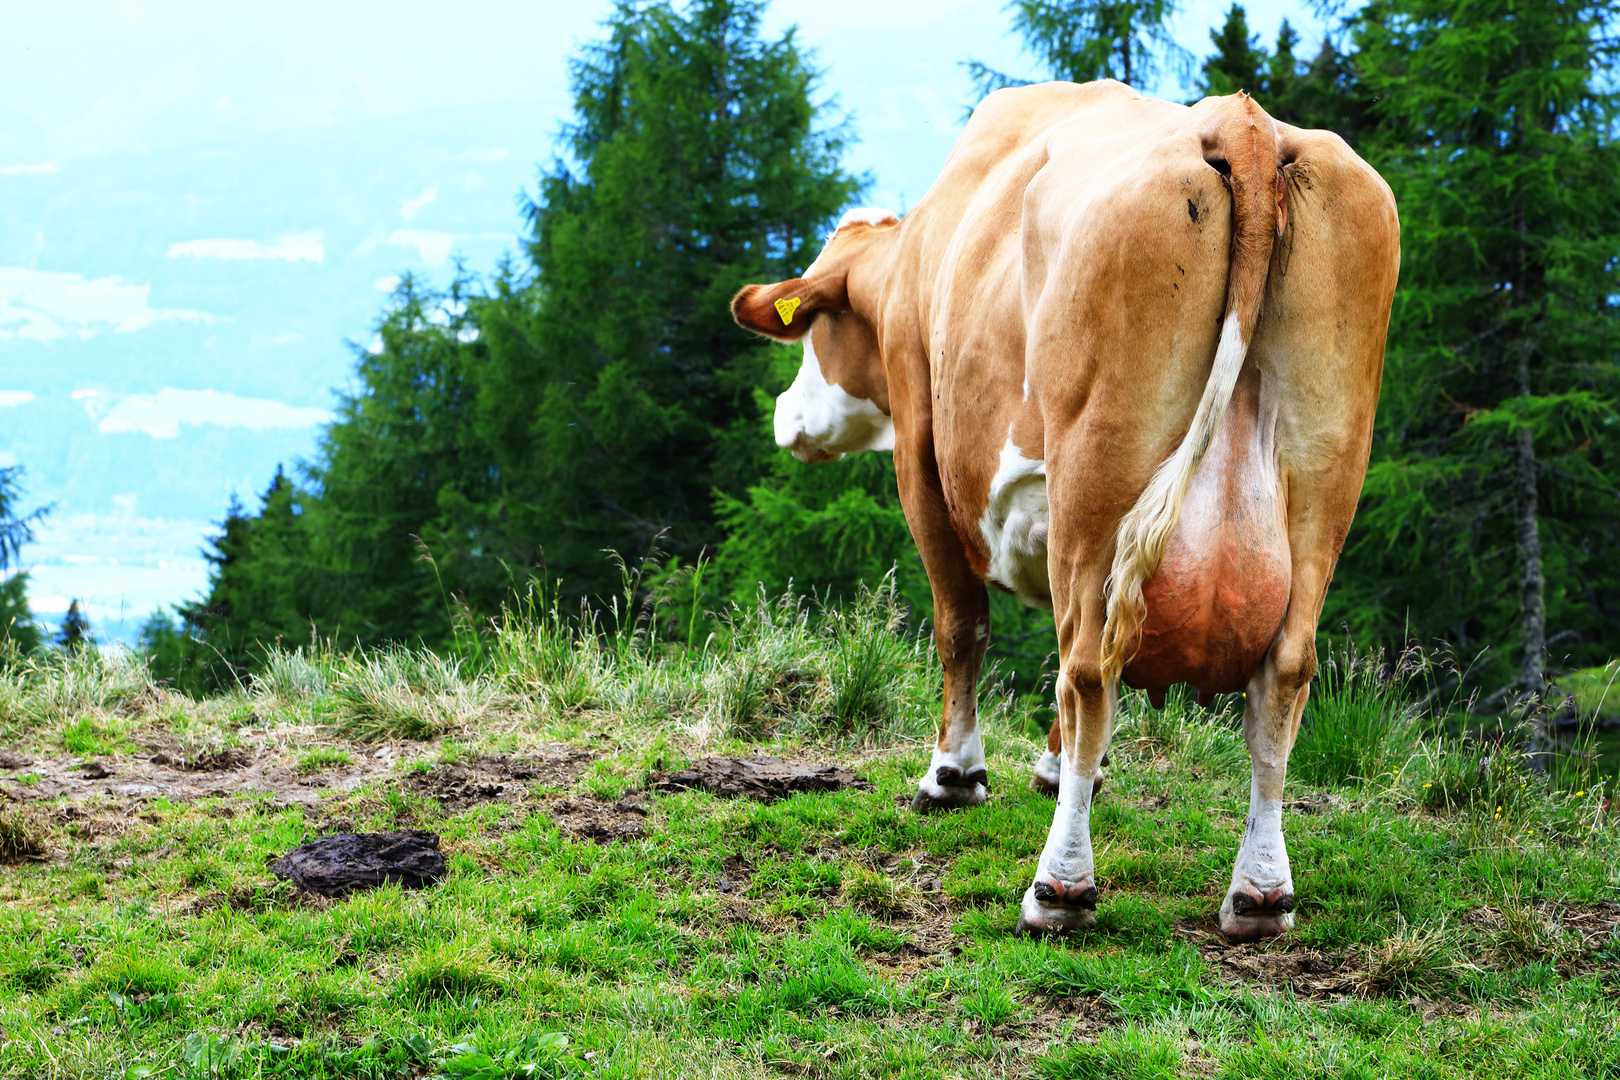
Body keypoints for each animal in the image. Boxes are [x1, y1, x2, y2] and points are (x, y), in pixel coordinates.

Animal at [729, 80, 1399, 939]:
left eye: (812, 330)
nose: (786, 415)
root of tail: (1243, 122)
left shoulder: (922, 457)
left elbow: (963, 625)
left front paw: (954, 775)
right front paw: (1057, 767)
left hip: (1096, 474)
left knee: (1087, 668)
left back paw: (1061, 887)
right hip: (1323, 478)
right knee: (1278, 675)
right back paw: (1259, 893)